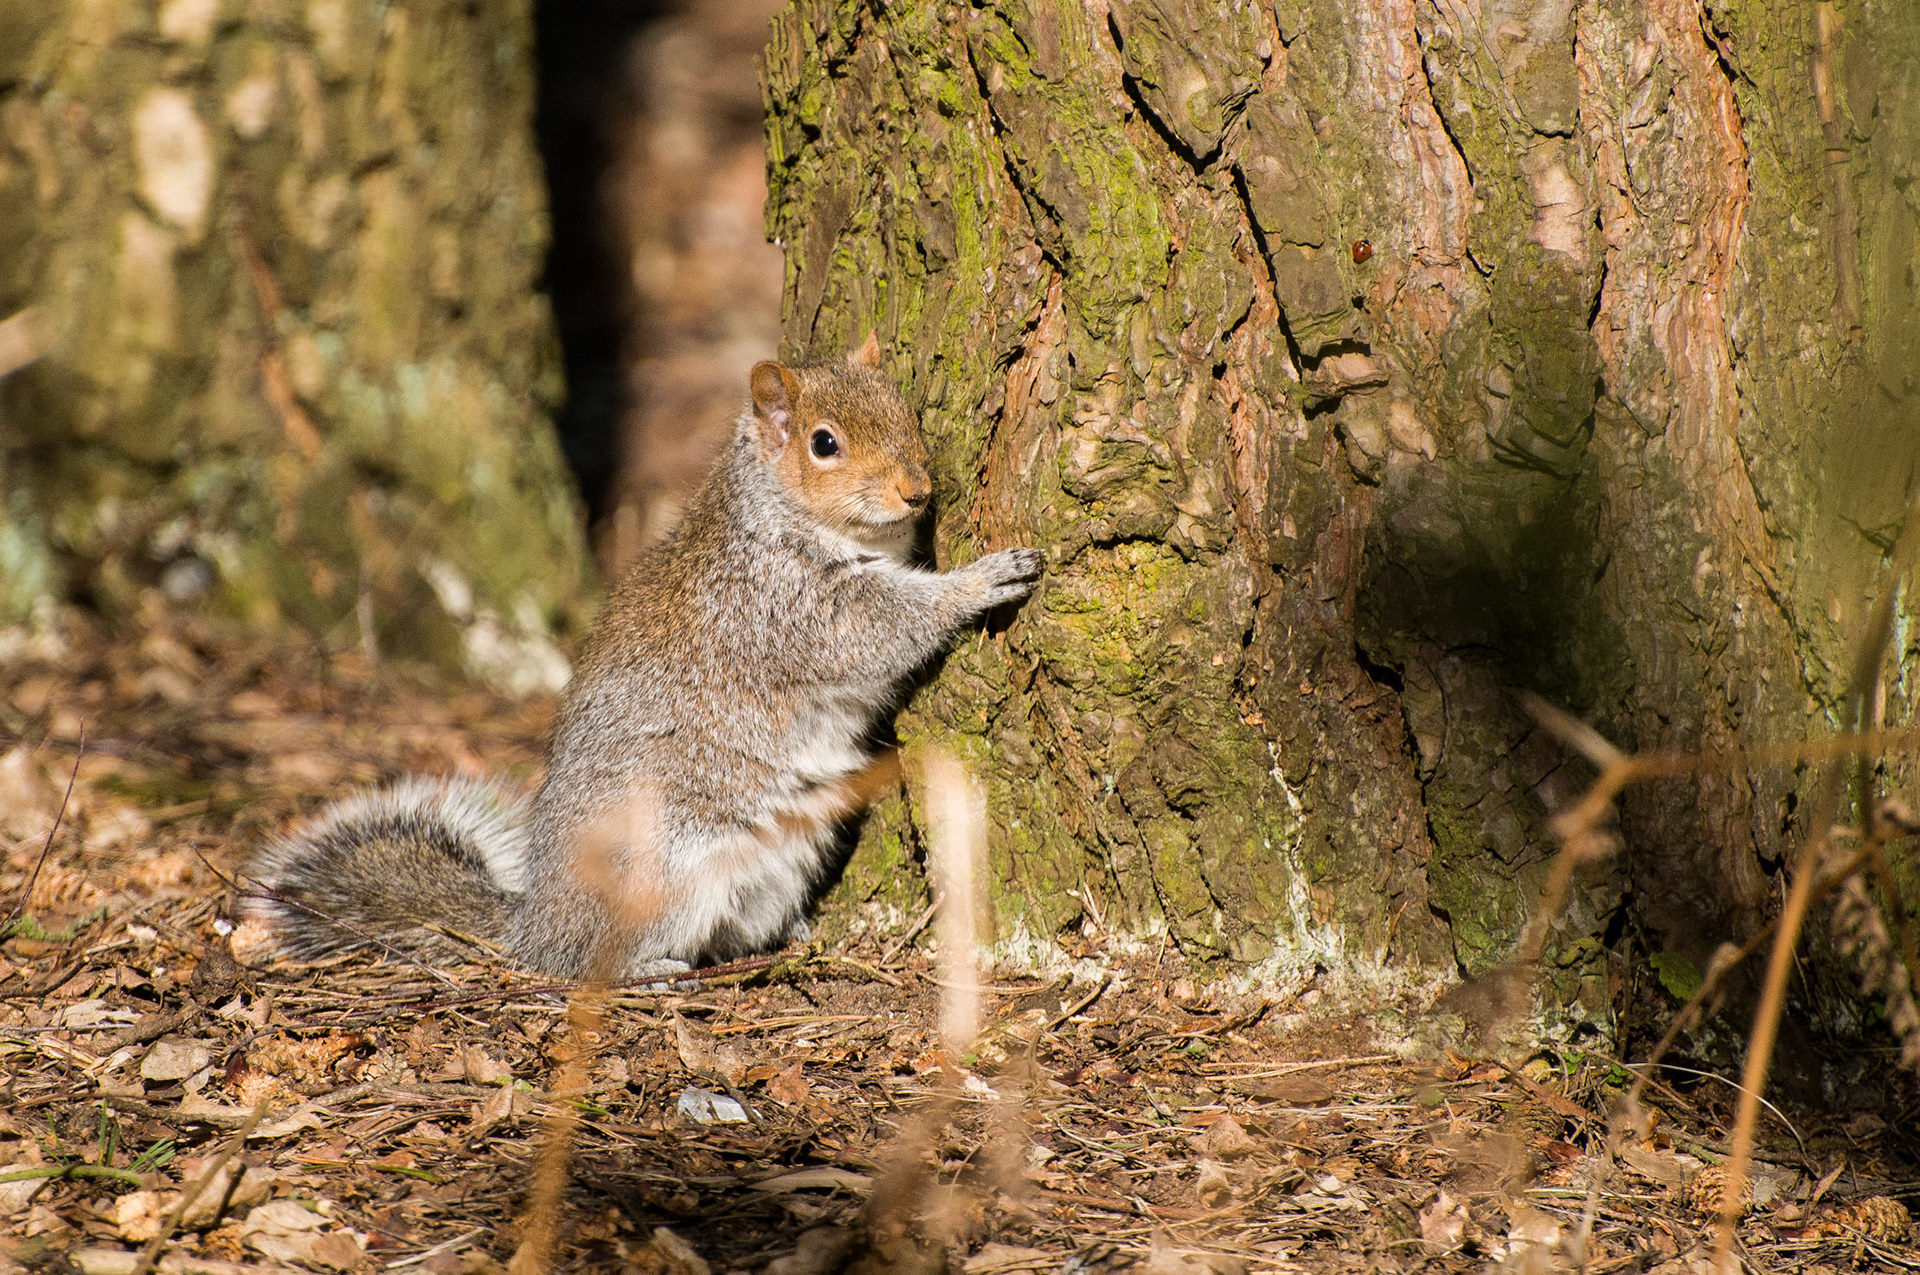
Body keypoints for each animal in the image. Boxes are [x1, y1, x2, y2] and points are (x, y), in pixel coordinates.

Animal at [246, 335, 1043, 981]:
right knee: (587, 962)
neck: (778, 516)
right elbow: (881, 627)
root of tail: (532, 925)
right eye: (824, 443)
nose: (918, 489)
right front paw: (981, 580)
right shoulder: (783, 607)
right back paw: (646, 967)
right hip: (663, 871)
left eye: (904, 409)